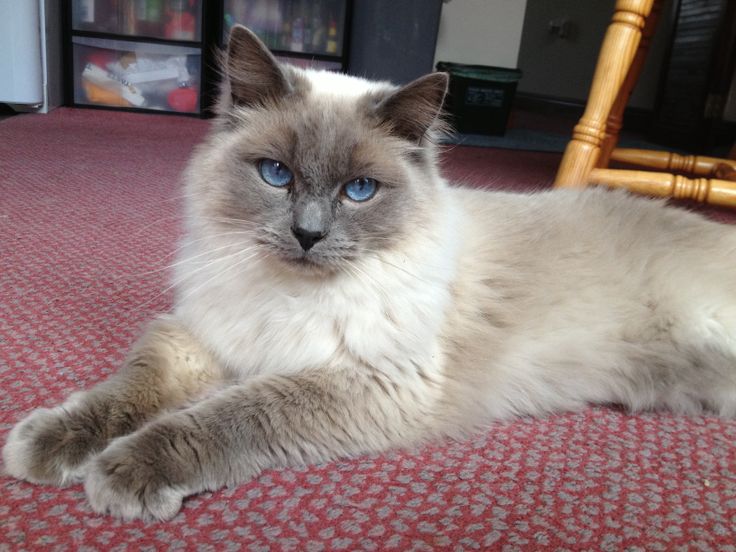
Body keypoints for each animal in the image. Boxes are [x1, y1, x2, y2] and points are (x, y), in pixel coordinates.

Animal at [4, 22, 736, 520]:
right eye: (276, 175)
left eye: (359, 190)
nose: (307, 235)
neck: (288, 296)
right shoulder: (201, 337)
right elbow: (123, 392)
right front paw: (49, 445)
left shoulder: (366, 378)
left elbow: (227, 415)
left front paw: (124, 472)